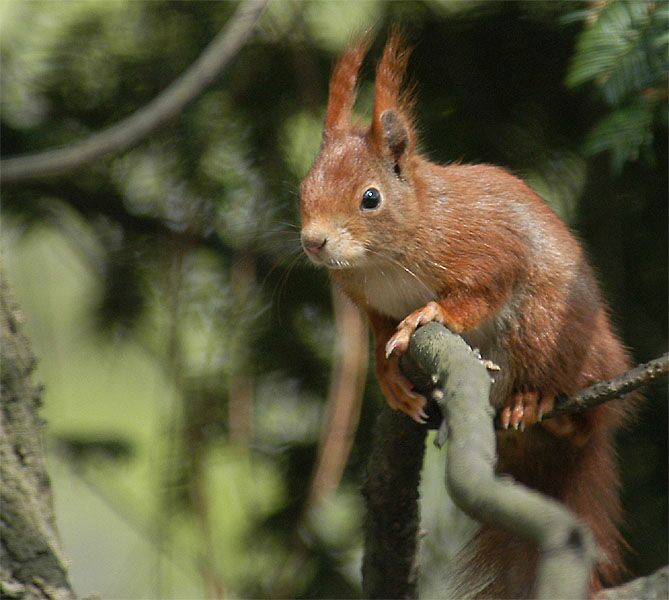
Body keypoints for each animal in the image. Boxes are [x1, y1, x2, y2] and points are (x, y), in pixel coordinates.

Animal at [299, 31, 634, 598]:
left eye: (370, 198)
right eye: (303, 187)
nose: (313, 242)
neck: (383, 260)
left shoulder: (486, 247)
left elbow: (479, 291)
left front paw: (426, 316)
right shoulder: (368, 303)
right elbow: (380, 336)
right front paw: (389, 376)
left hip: (550, 331)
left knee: (588, 415)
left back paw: (539, 401)